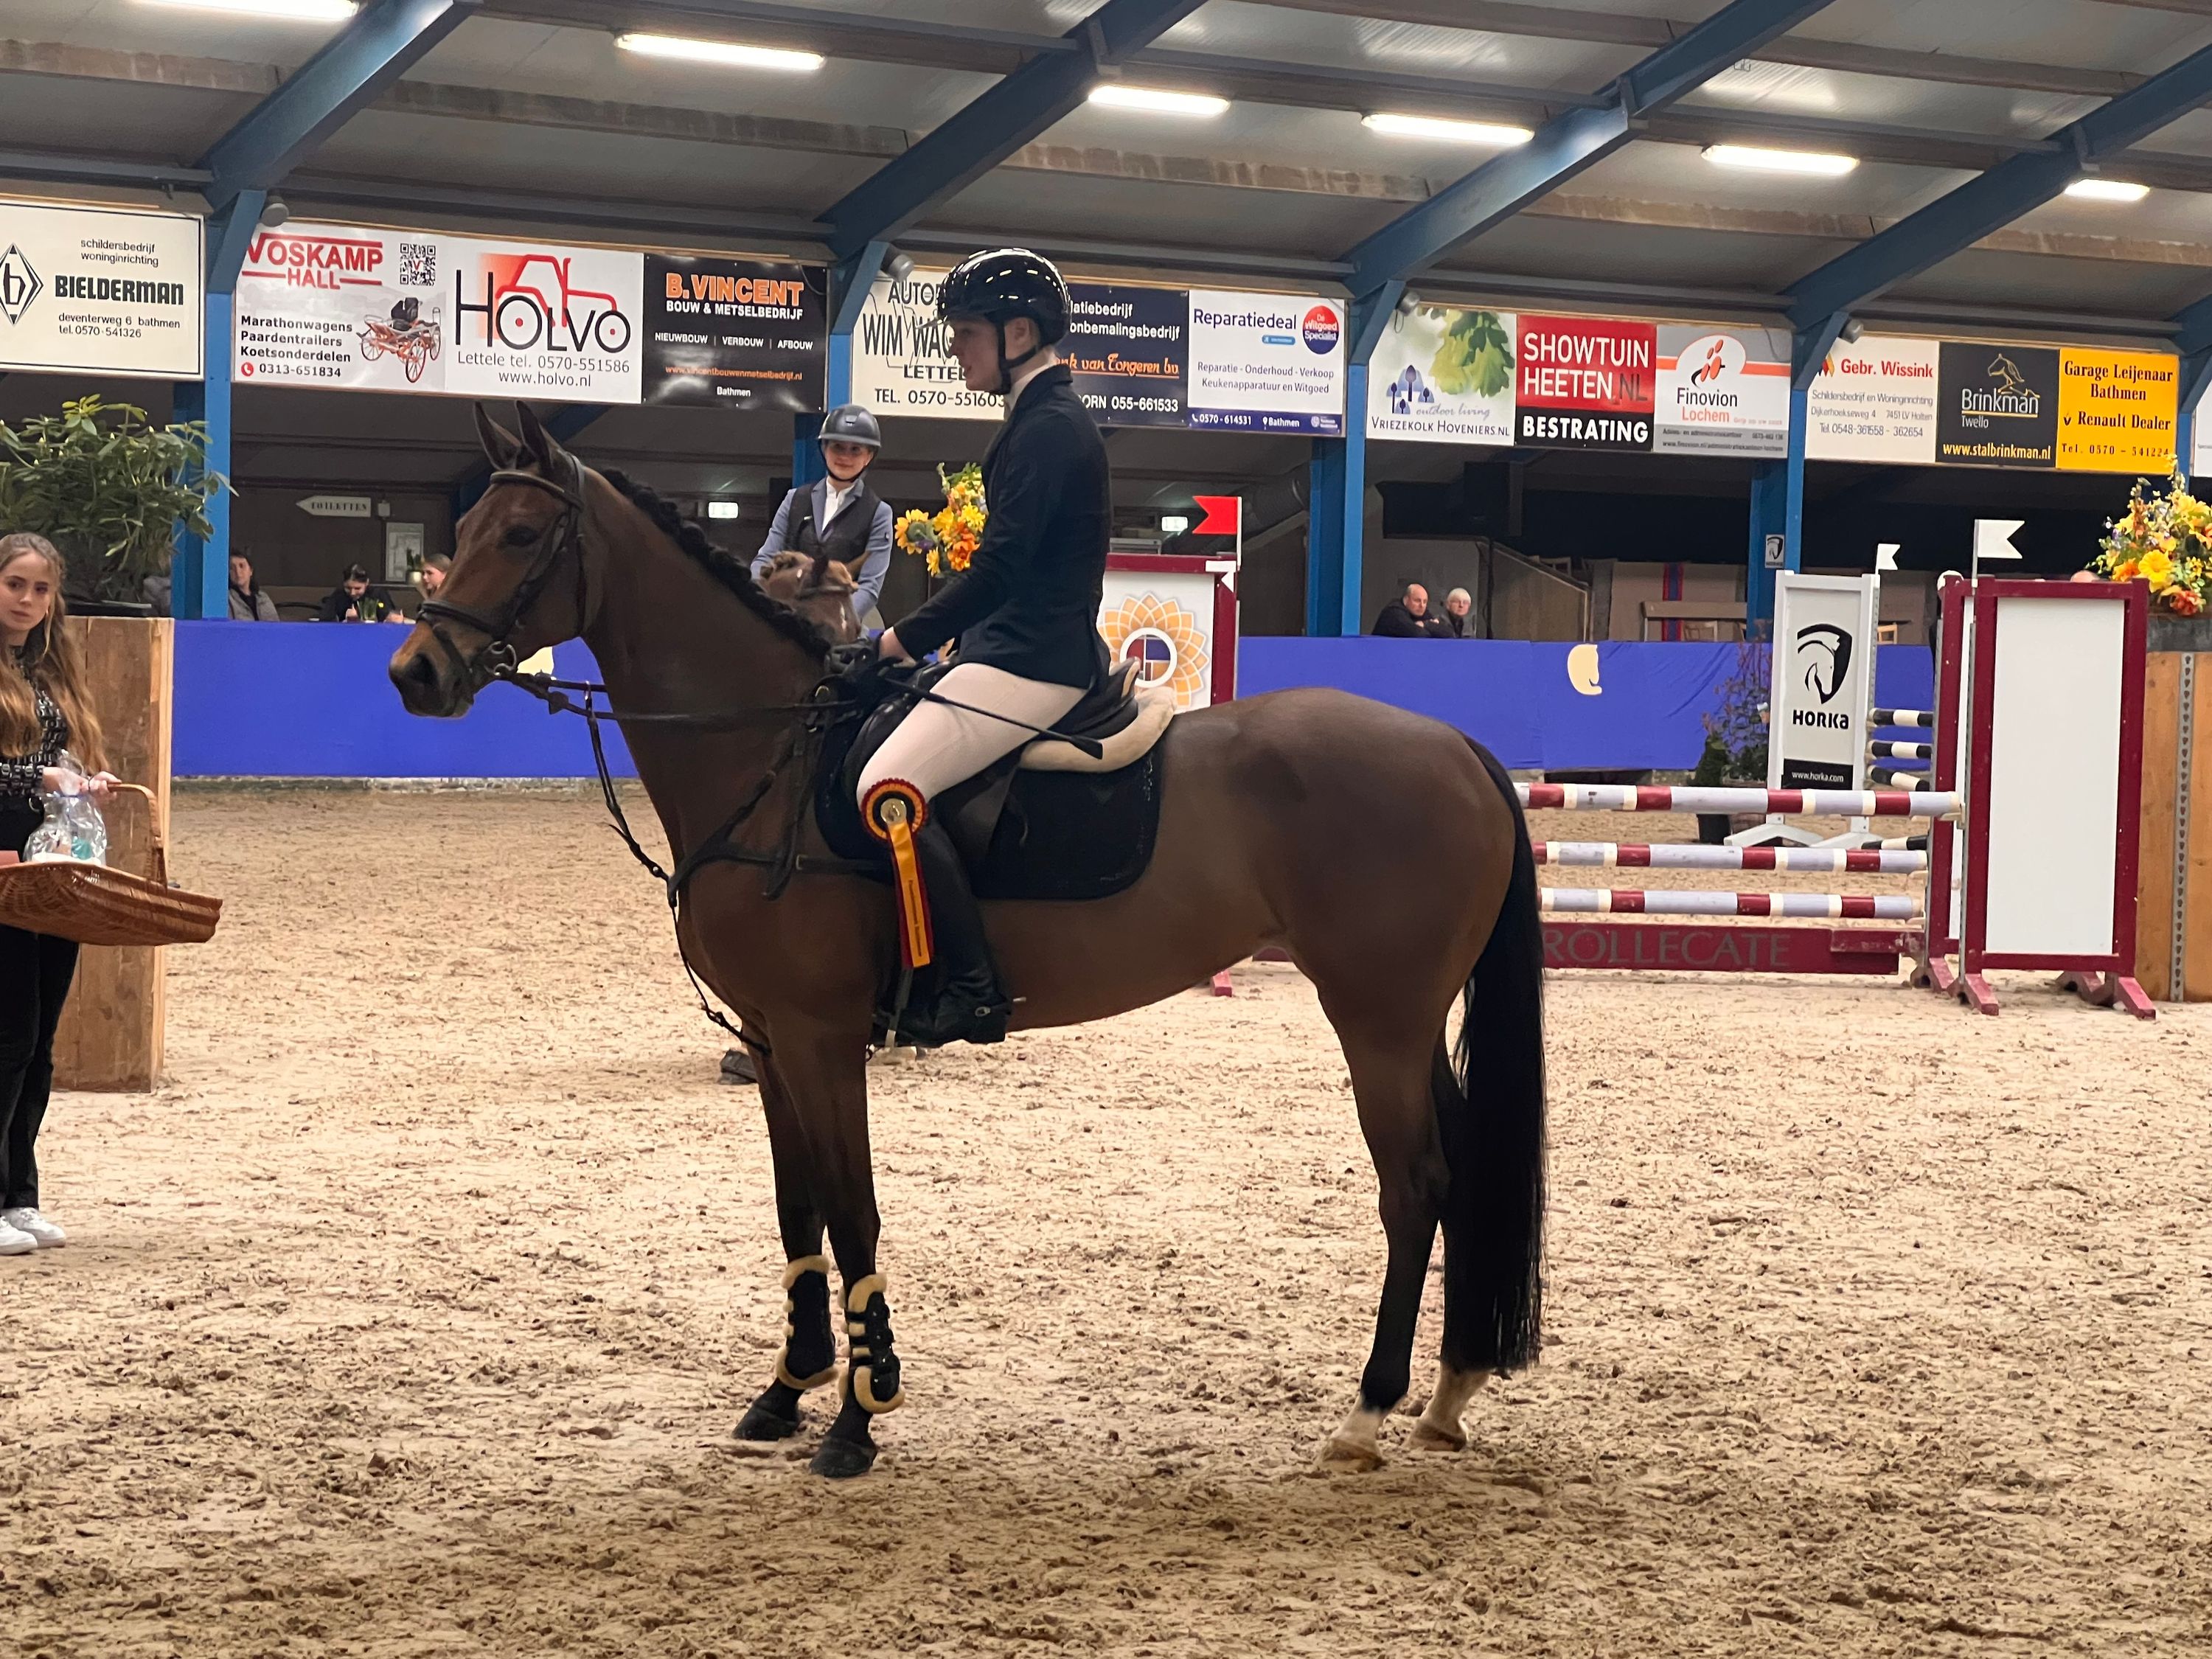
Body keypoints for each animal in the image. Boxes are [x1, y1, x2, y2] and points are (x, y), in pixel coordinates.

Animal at [390, 403, 1546, 1480]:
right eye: (465, 528)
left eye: (523, 531)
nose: (415, 672)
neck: (769, 755)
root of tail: (1458, 746)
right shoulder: (768, 1039)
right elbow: (797, 1214)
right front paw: (788, 1391)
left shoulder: (819, 1038)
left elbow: (852, 1212)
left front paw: (858, 1417)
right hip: (1409, 1020)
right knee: (1458, 1174)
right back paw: (1451, 1389)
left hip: (1376, 1016)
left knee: (1414, 1186)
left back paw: (1369, 1410)